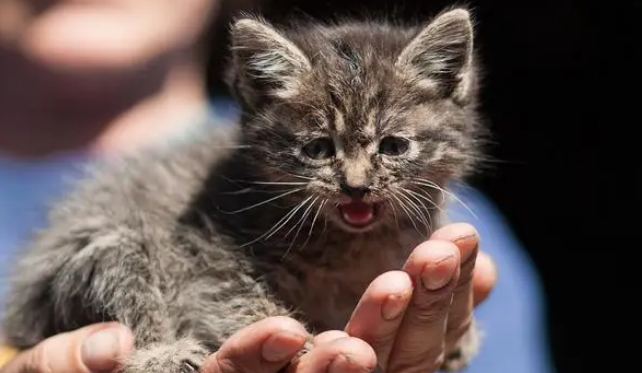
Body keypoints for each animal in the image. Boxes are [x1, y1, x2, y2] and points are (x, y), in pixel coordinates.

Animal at [1, 5, 484, 372]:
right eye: (317, 148)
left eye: (394, 146)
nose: (356, 187)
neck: (349, 242)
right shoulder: (203, 246)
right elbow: (226, 292)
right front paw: (300, 342)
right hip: (101, 247)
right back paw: (162, 355)